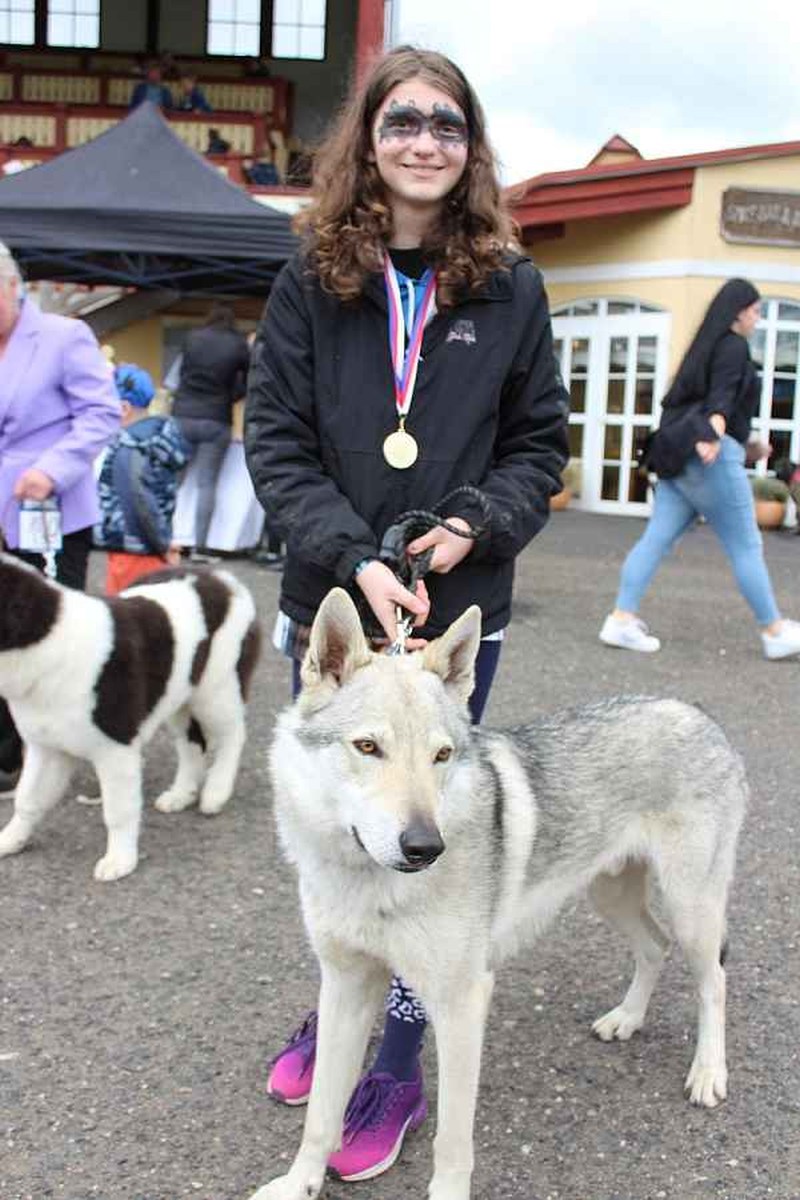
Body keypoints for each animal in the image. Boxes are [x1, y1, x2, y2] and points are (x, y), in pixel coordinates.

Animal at [0, 554, 261, 883]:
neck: (43, 645)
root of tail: (224, 577)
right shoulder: (46, 746)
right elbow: (27, 798)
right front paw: (11, 840)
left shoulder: (116, 750)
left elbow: (118, 811)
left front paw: (119, 860)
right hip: (177, 693)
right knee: (191, 744)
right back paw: (181, 794)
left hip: (216, 687)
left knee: (233, 734)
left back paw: (216, 792)